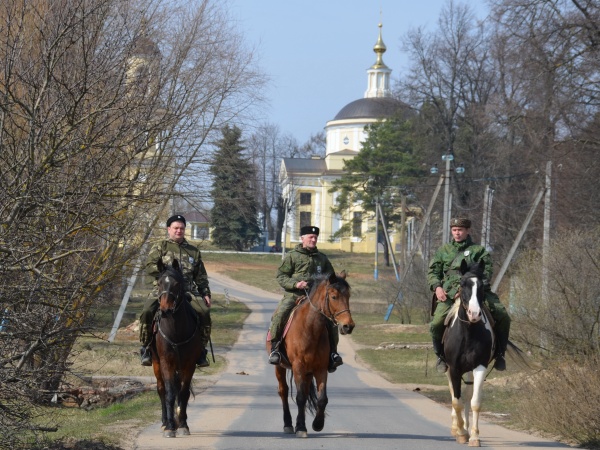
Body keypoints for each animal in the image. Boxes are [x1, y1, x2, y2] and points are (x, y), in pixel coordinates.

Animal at [152, 258, 204, 438]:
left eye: (176, 284)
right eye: (159, 283)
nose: (165, 309)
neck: (176, 332)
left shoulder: (189, 364)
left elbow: (183, 393)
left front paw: (182, 425)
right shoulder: (166, 362)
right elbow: (169, 393)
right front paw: (169, 427)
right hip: (156, 364)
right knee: (161, 390)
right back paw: (164, 422)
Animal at [264, 270, 354, 436]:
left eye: (348, 296)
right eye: (334, 296)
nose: (348, 326)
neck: (310, 329)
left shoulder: (320, 368)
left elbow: (322, 398)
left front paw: (317, 424)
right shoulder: (298, 366)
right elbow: (299, 397)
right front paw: (300, 428)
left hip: (308, 372)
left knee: (305, 393)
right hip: (280, 367)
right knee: (284, 391)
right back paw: (288, 424)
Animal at [442, 260, 494, 446]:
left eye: (482, 286)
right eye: (463, 284)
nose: (474, 314)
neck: (468, 332)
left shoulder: (480, 366)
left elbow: (474, 401)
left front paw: (474, 436)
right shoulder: (454, 369)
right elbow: (456, 401)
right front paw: (461, 433)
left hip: (469, 370)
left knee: (467, 394)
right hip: (449, 369)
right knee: (453, 393)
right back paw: (456, 427)